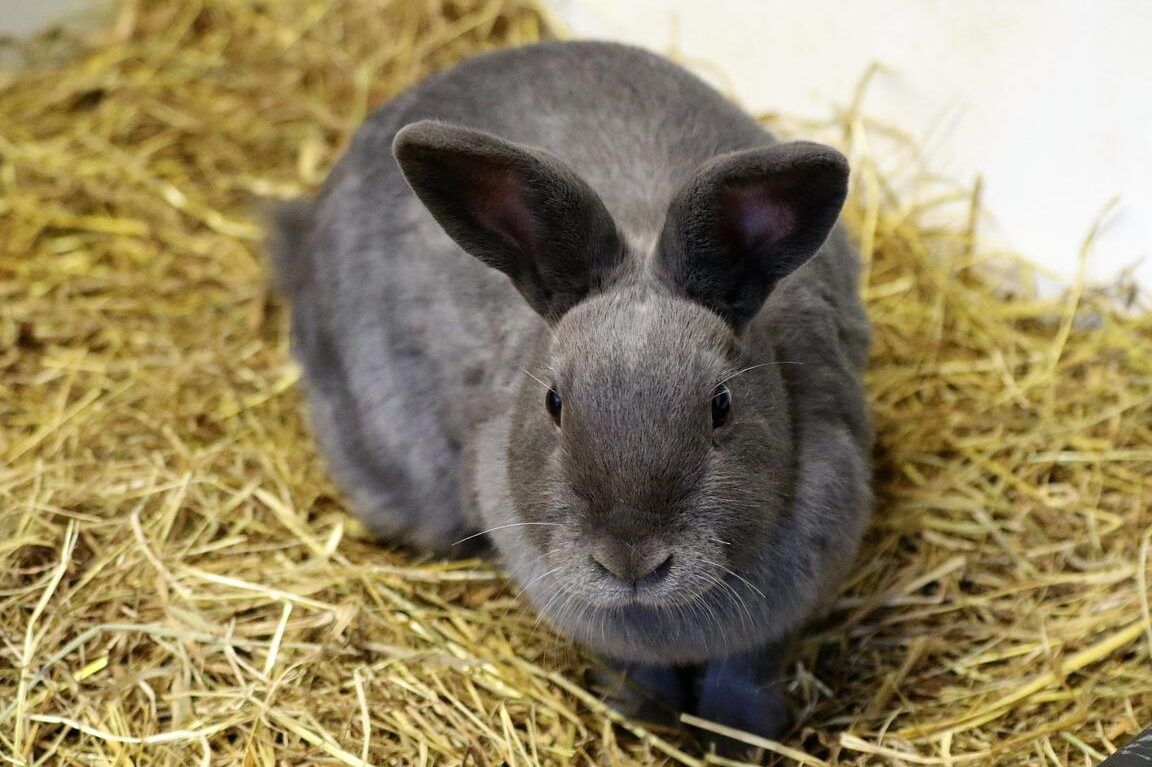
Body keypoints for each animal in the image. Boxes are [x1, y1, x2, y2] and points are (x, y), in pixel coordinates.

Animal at [270, 40, 872, 756]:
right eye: (554, 404)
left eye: (721, 406)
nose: (631, 561)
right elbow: (633, 669)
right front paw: (641, 719)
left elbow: (745, 672)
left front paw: (741, 742)